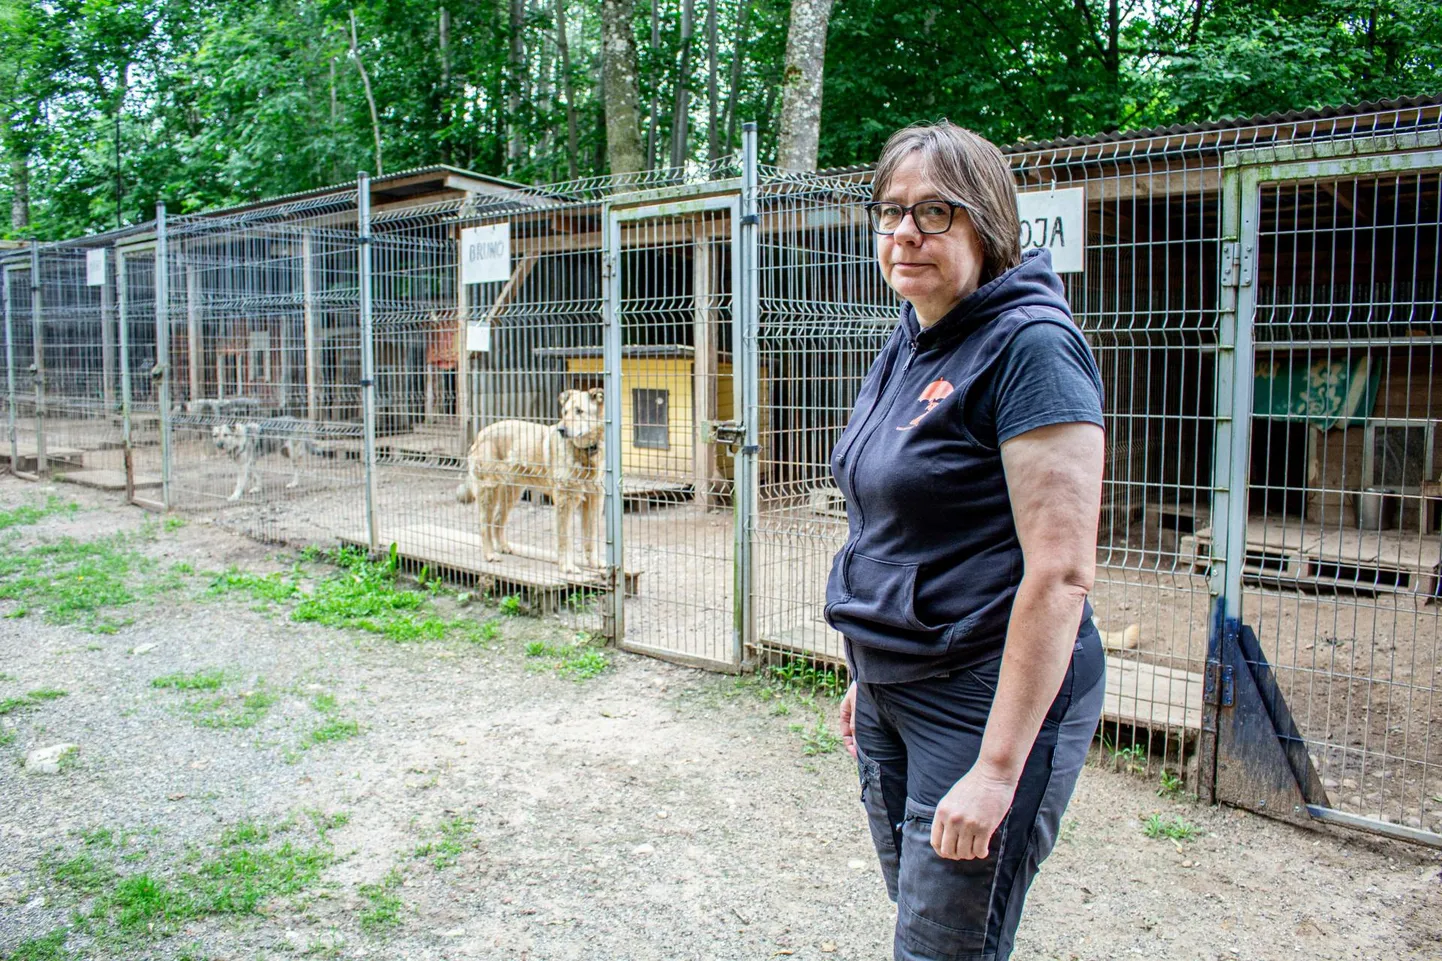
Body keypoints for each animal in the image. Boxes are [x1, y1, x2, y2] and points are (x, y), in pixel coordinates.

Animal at [455, 386, 602, 571]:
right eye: (565, 412)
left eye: (579, 411)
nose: (561, 430)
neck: (585, 453)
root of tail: (480, 434)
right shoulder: (564, 500)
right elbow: (565, 538)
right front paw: (567, 567)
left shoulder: (594, 499)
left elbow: (592, 536)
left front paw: (595, 563)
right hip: (488, 491)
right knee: (484, 524)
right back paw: (490, 555)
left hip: (511, 493)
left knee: (497, 520)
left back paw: (503, 547)